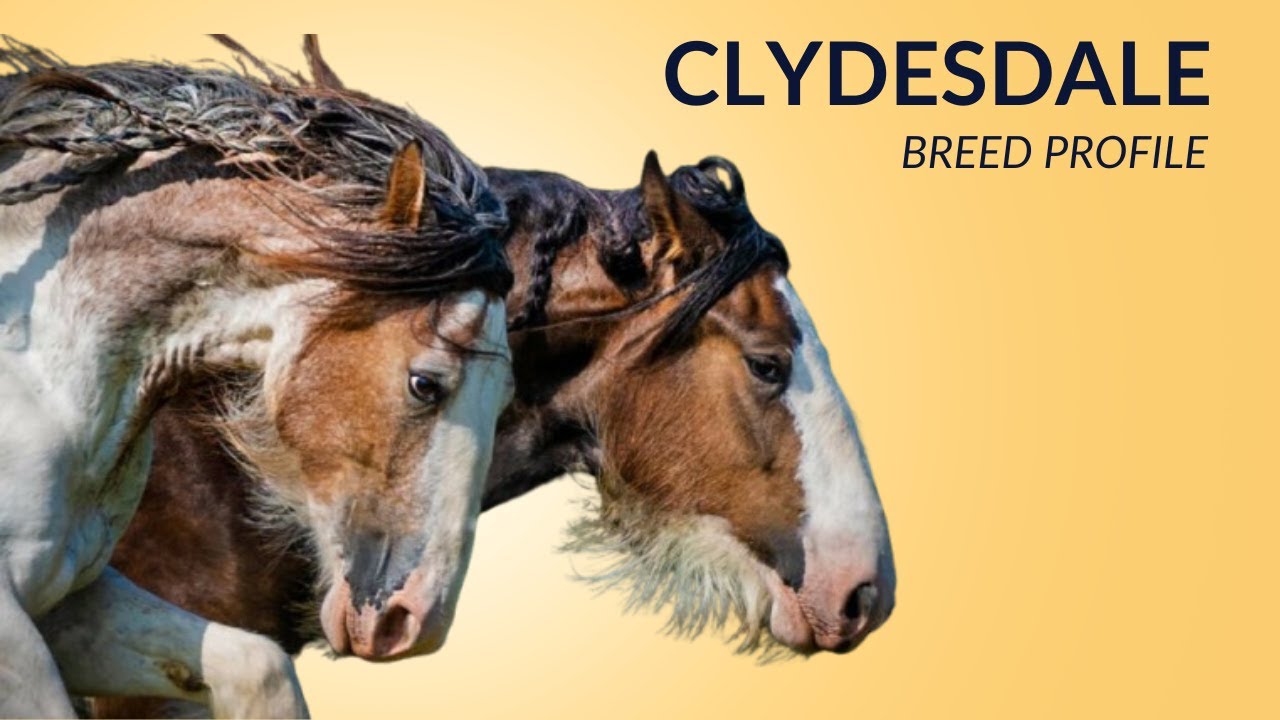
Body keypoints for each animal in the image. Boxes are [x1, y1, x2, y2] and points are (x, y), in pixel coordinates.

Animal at [0, 40, 513, 716]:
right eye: (426, 384)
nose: (414, 623)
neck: (38, 365)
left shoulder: (70, 598)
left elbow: (257, 665)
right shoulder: (15, 629)